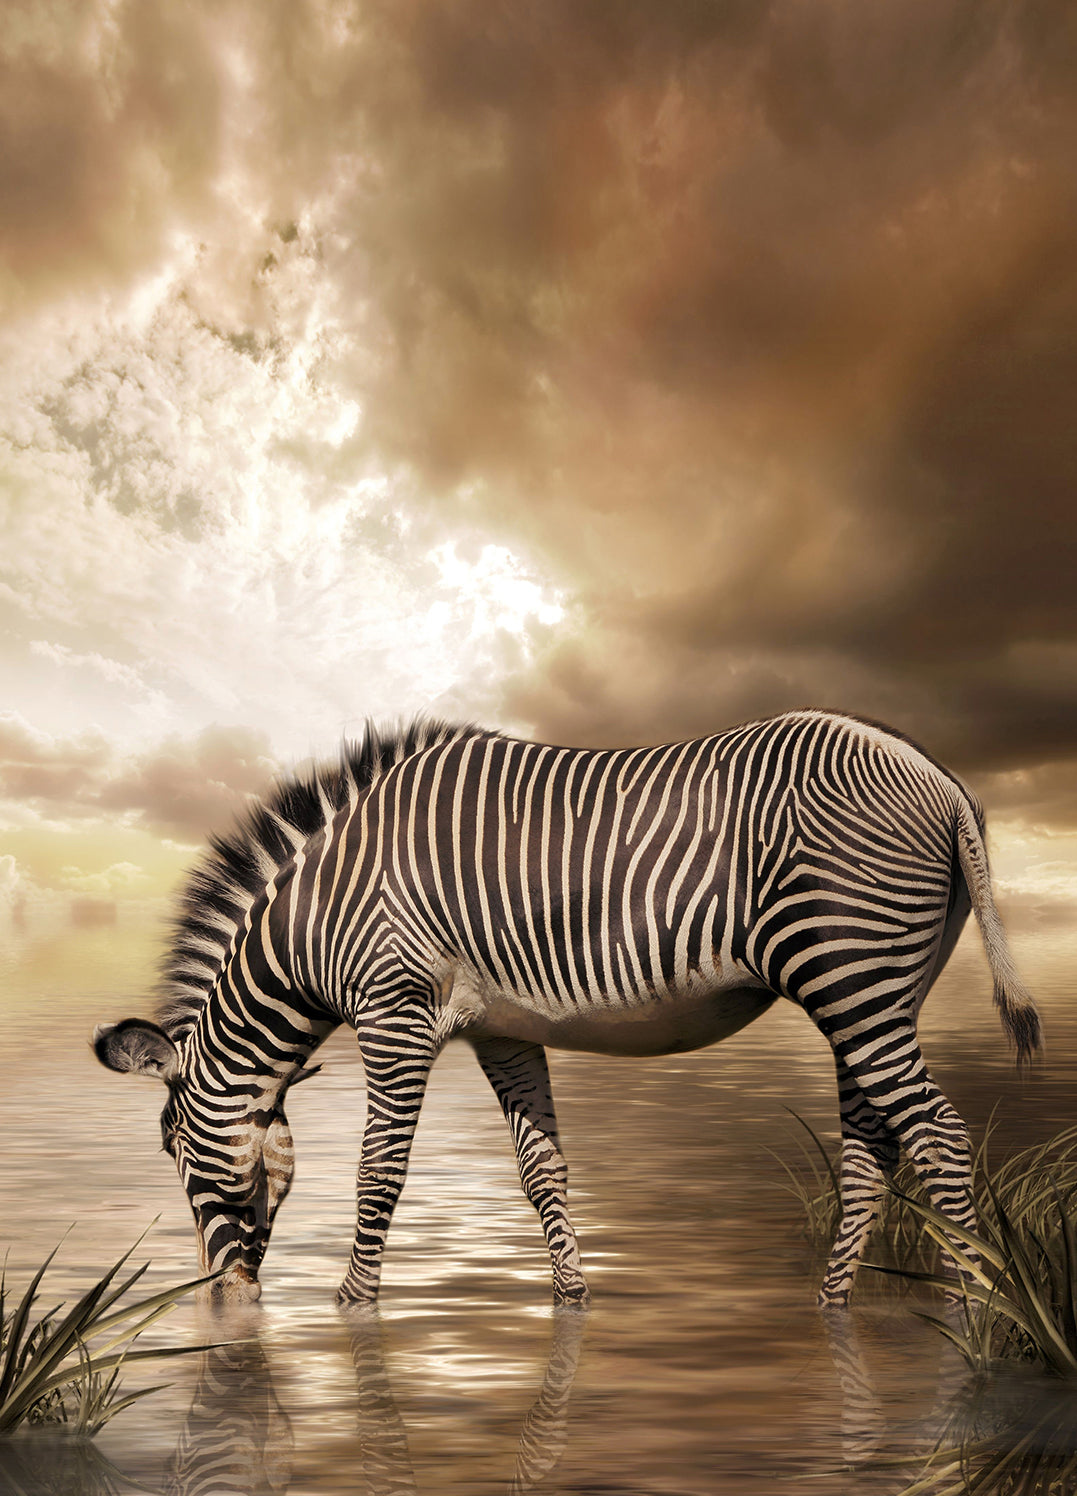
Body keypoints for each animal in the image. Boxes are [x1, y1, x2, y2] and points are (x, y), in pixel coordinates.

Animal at [93, 710, 1040, 1310]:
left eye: (172, 1148)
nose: (226, 1304)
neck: (317, 920)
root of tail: (938, 776)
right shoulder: (502, 1030)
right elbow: (540, 1169)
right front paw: (571, 1296)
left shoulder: (394, 1013)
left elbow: (379, 1170)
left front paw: (351, 1306)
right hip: (870, 991)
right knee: (870, 1148)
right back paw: (833, 1307)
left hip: (848, 970)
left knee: (934, 1136)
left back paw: (975, 1307)